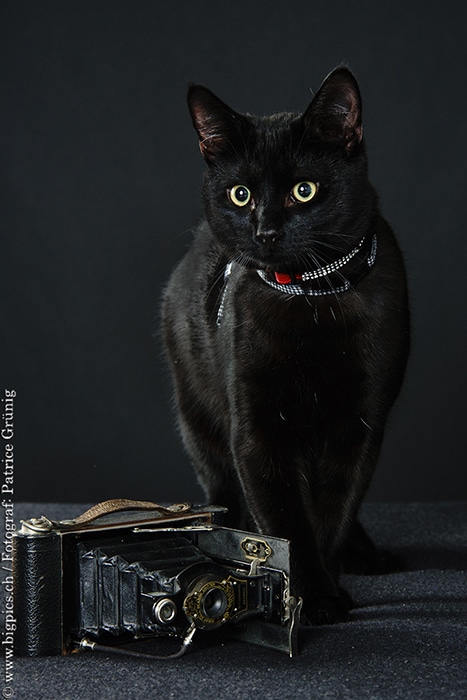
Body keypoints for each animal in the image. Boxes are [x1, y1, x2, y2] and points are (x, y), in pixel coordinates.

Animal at [163, 67, 412, 624]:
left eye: (304, 189)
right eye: (239, 194)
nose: (267, 230)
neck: (312, 297)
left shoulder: (360, 424)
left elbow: (333, 510)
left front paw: (326, 592)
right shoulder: (257, 429)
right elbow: (286, 522)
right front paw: (312, 594)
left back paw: (367, 553)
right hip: (197, 413)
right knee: (222, 488)